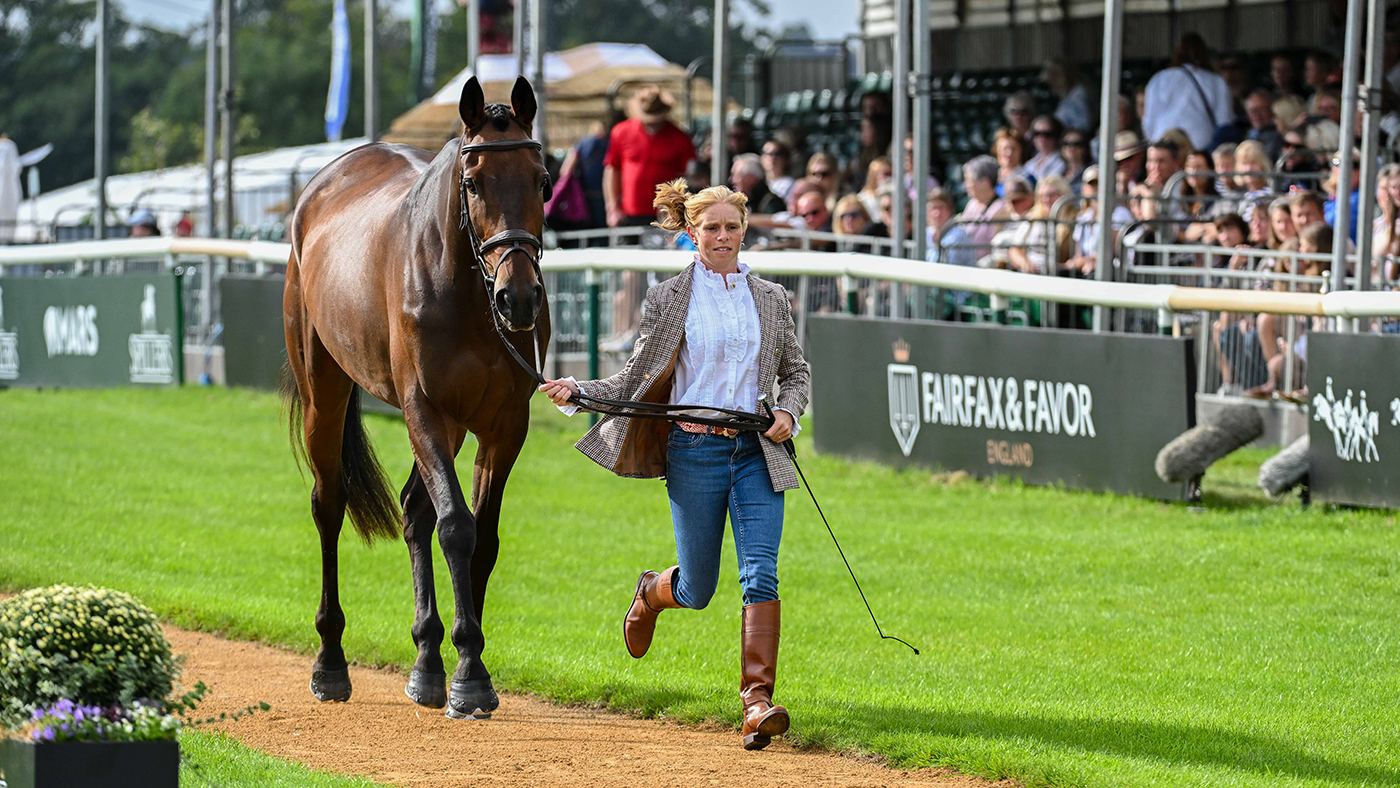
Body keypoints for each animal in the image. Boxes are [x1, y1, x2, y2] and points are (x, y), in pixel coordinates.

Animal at [281, 75, 551, 720]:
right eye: (474, 181)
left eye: (542, 179)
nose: (519, 298)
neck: (470, 295)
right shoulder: (424, 408)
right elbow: (456, 526)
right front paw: (470, 673)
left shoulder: (504, 423)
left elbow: (483, 538)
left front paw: (462, 666)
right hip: (325, 391)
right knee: (329, 505)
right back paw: (330, 662)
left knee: (412, 509)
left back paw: (426, 664)